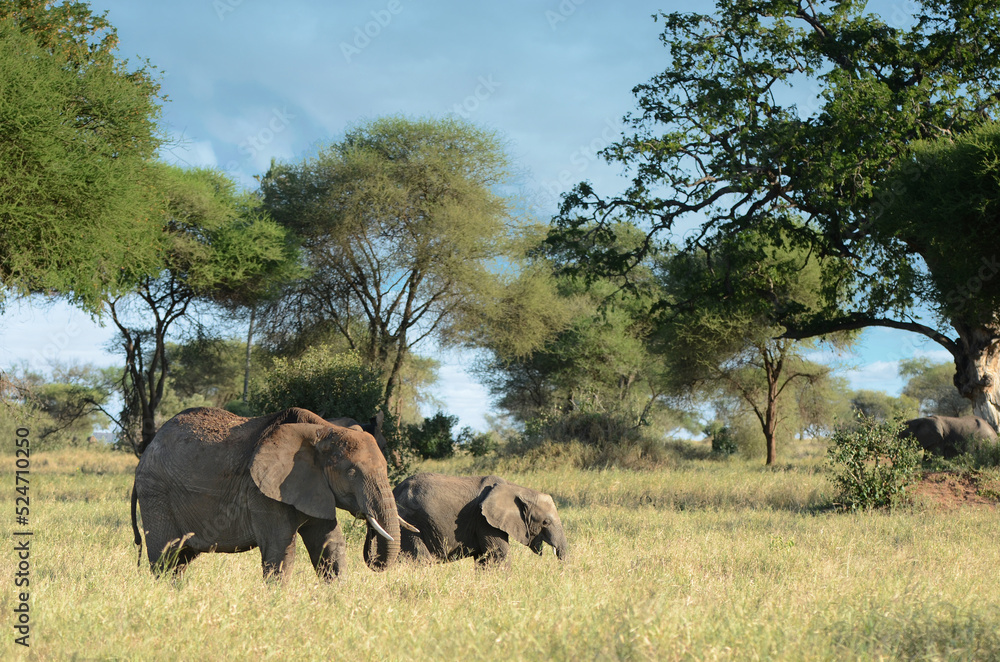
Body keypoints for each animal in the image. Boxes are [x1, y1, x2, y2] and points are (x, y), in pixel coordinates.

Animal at [131, 406, 416, 581]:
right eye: (352, 472)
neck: (323, 428)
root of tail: (147, 450)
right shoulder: (263, 492)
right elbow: (280, 550)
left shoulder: (315, 486)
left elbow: (330, 545)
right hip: (155, 492)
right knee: (165, 558)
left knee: (181, 560)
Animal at [385, 473, 568, 568]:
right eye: (545, 522)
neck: (516, 489)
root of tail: (394, 491)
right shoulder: (484, 520)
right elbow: (498, 556)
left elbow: (483, 560)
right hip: (409, 522)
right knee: (420, 559)